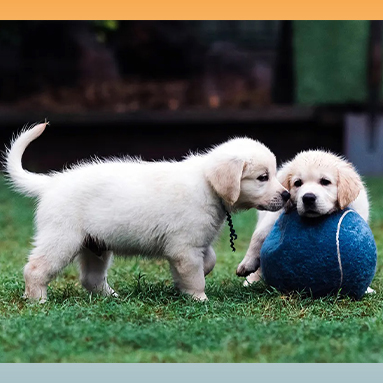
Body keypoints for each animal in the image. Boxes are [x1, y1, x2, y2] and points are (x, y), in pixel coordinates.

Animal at [5, 123, 292, 304]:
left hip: (95, 246)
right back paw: (38, 299)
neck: (207, 185)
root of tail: (51, 182)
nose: (287, 195)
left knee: (90, 279)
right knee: (35, 268)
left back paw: (112, 297)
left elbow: (207, 260)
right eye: (263, 177)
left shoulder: (192, 243)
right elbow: (195, 275)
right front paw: (199, 298)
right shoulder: (185, 247)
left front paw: (189, 282)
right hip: (62, 238)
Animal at [237, 150, 372, 284]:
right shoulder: (275, 214)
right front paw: (247, 264)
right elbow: (259, 235)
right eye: (298, 183)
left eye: (325, 181)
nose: (308, 198)